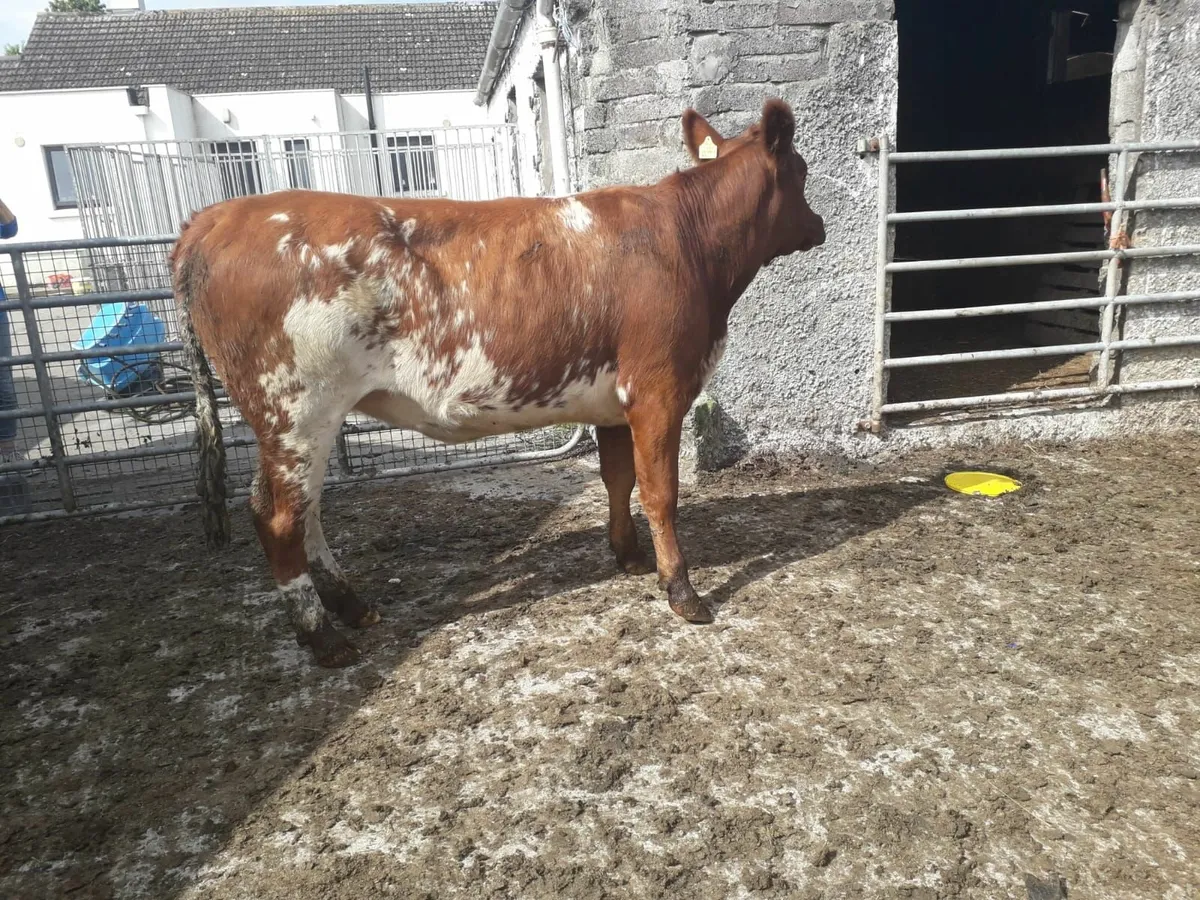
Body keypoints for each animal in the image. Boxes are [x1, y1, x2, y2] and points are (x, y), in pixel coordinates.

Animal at [171, 98, 826, 668]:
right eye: (801, 170)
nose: (819, 224)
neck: (689, 243)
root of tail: (216, 216)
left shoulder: (613, 401)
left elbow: (616, 480)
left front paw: (628, 556)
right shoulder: (659, 389)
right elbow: (660, 492)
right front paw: (682, 592)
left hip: (296, 419)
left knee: (301, 509)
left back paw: (352, 606)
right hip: (297, 407)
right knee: (279, 516)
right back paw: (323, 638)